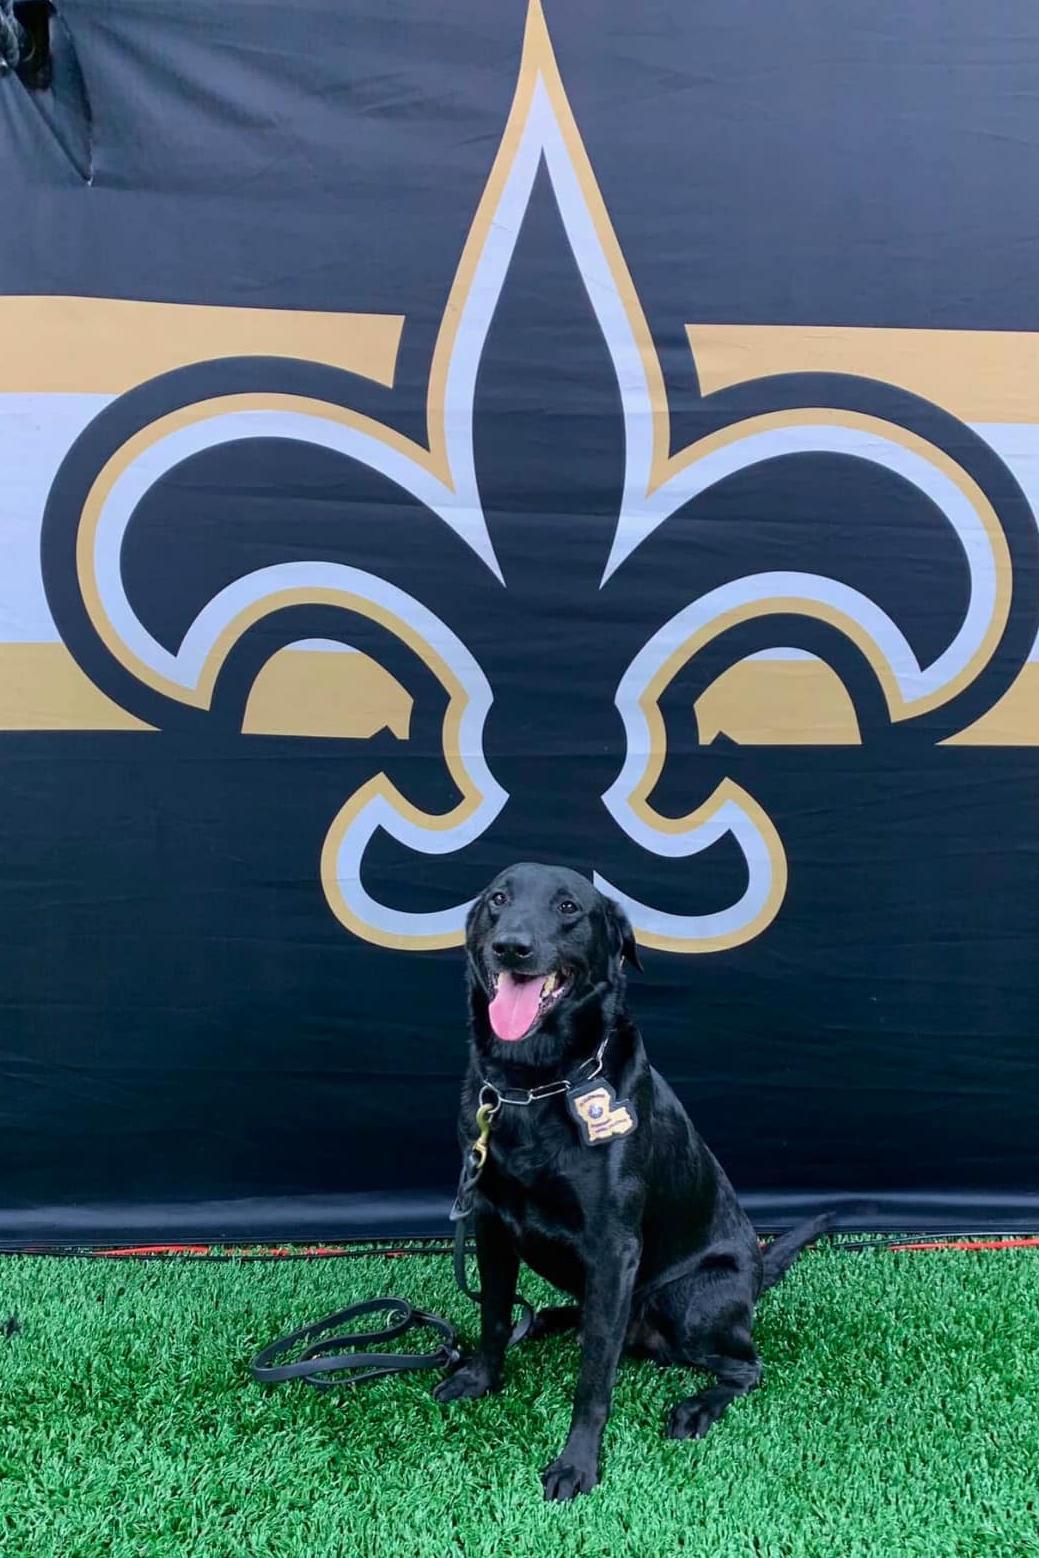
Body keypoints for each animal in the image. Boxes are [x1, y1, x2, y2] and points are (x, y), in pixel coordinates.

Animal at [436, 866, 834, 1495]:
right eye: (498, 899)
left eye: (568, 907)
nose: (512, 947)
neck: (535, 1083)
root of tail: (756, 1276)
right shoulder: (491, 1223)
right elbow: (494, 1317)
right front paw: (480, 1379)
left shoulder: (613, 1244)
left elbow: (595, 1374)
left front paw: (577, 1464)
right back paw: (548, 1318)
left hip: (689, 1299)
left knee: (745, 1367)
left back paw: (696, 1407)